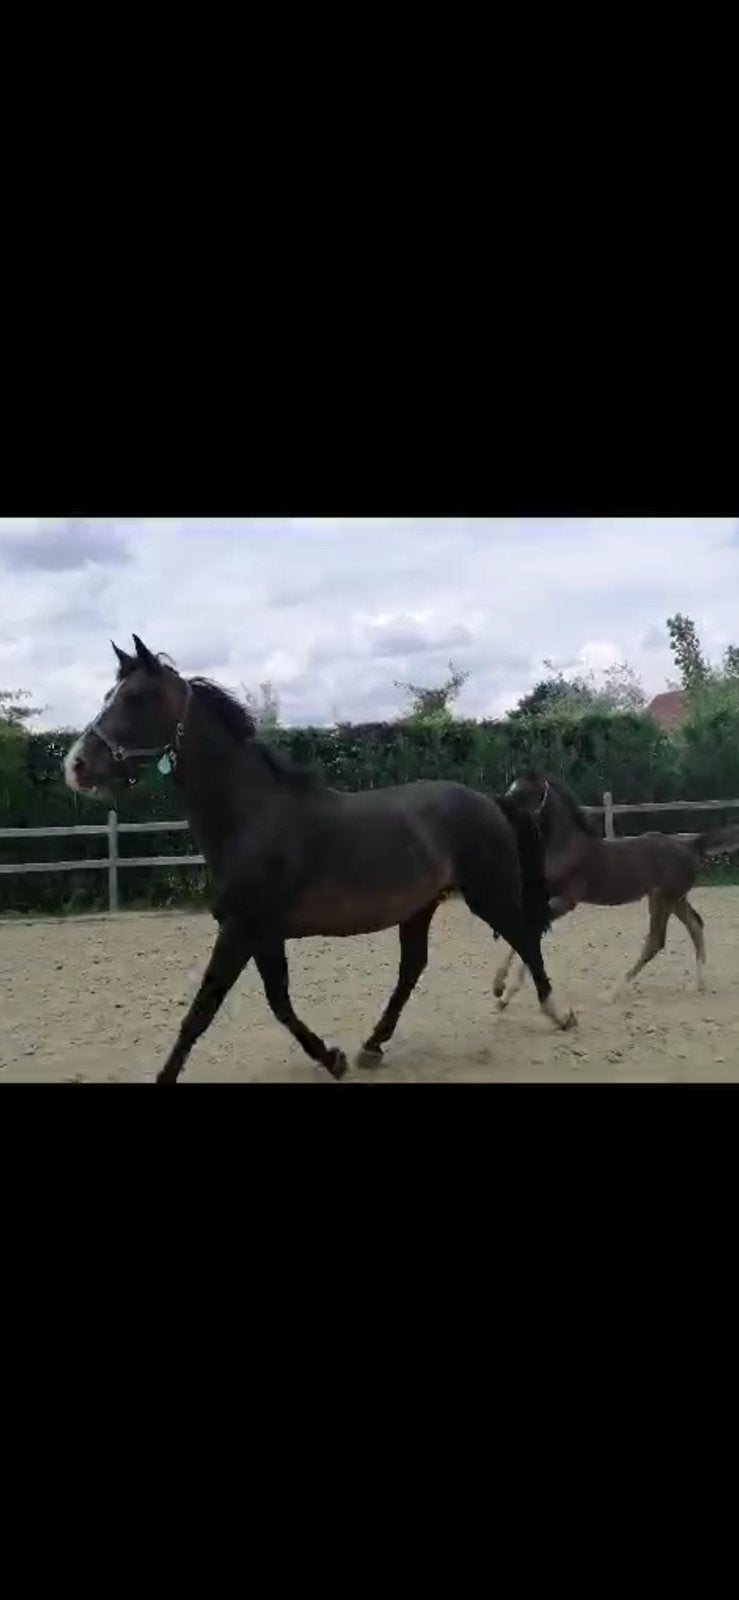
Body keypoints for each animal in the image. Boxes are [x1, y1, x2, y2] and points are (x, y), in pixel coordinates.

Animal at [63, 636, 576, 1083]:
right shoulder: (262, 933)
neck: (252, 816)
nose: (76, 766)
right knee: (413, 968)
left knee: (525, 937)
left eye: (136, 699)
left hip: (486, 894)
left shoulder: (242, 929)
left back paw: (558, 1012)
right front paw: (334, 1059)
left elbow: (202, 1011)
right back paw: (372, 1046)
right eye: (110, 695)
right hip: (421, 907)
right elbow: (279, 1004)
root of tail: (490, 801)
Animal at [493, 769, 739, 1005]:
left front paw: (506, 993)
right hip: (676, 898)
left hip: (662, 899)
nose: (498, 814)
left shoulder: (566, 901)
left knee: (655, 941)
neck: (566, 846)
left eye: (520, 792)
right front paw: (499, 988)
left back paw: (611, 993)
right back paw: (698, 984)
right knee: (695, 925)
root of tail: (690, 845)